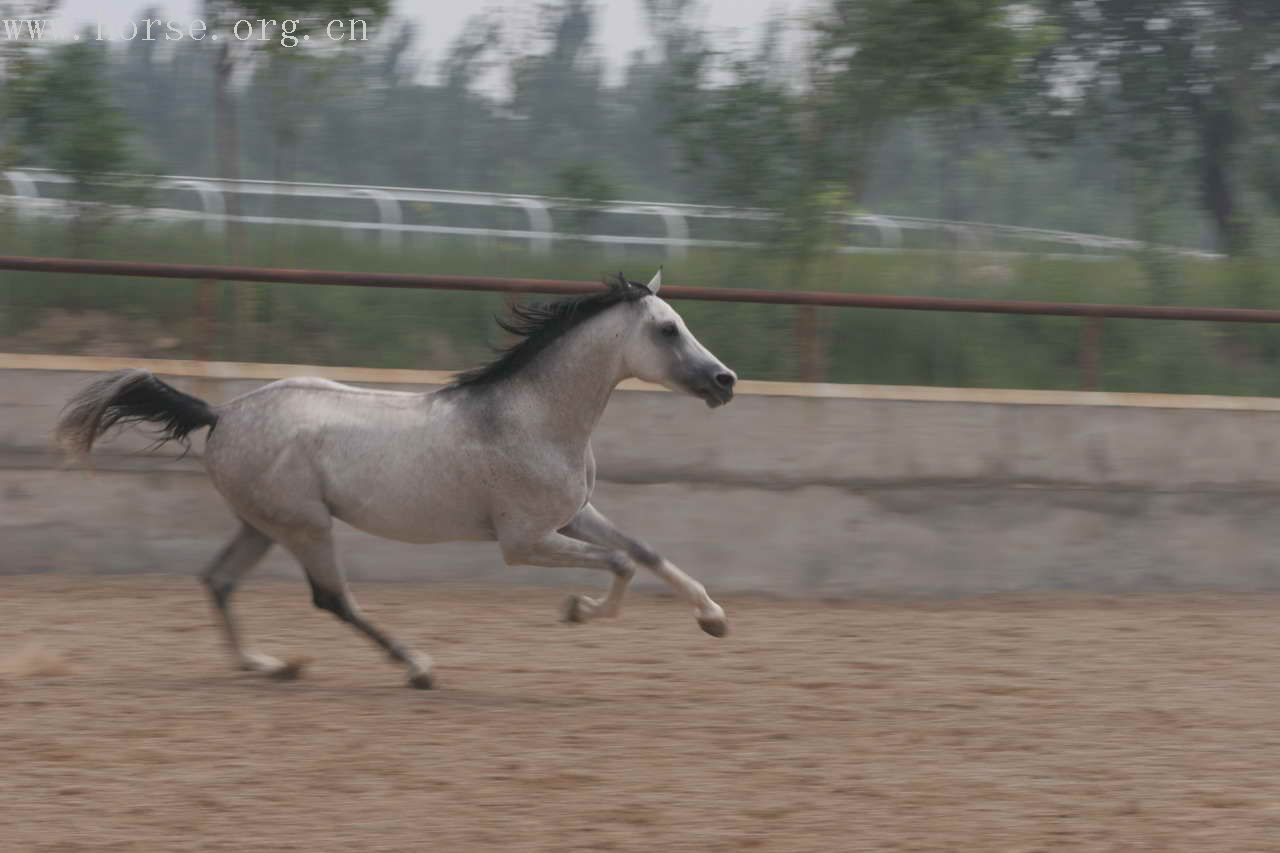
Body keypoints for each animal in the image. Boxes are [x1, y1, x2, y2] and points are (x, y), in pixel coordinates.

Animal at [57, 268, 742, 686]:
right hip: (305, 526)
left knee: (219, 580)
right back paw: (416, 666)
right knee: (331, 598)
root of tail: (221, 413)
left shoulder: (572, 516)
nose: (725, 381)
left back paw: (267, 665)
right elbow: (621, 565)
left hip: (263, 524)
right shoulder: (524, 542)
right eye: (667, 328)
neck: (532, 417)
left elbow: (643, 551)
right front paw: (576, 610)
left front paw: (713, 618)